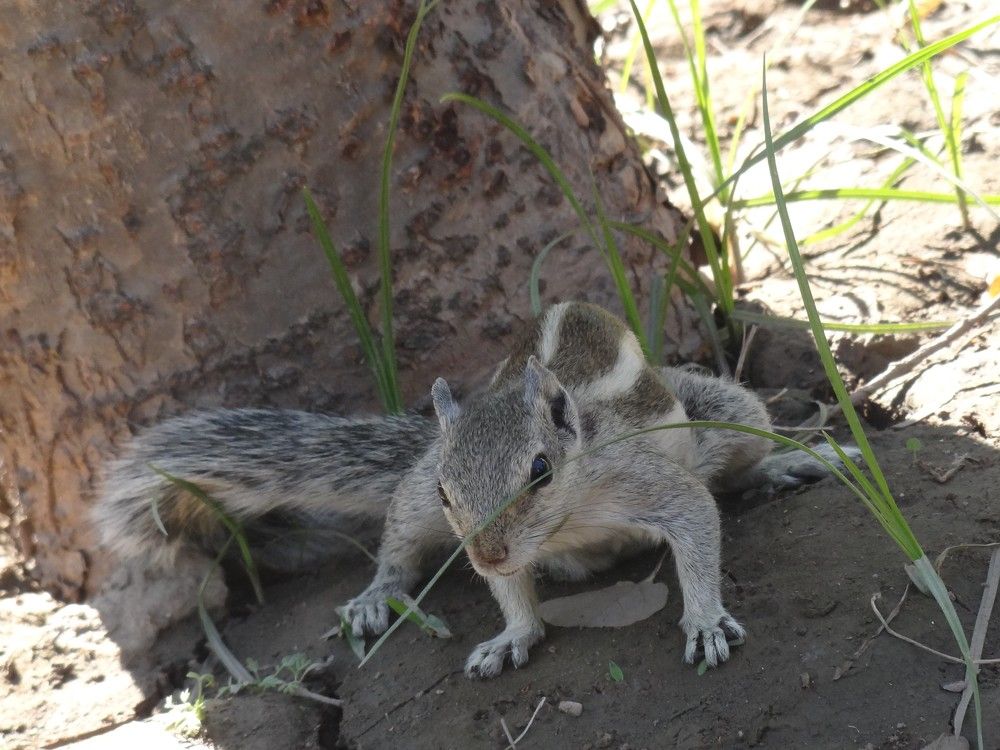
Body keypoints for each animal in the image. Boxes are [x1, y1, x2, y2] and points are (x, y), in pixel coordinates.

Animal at [95, 301, 853, 678]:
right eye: (447, 489)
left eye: (540, 470)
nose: (485, 554)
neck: (567, 524)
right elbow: (512, 596)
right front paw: (512, 636)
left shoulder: (648, 482)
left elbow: (696, 520)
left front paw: (702, 620)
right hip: (406, 506)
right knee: (398, 546)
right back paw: (377, 596)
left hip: (724, 411)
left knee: (742, 449)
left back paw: (787, 465)